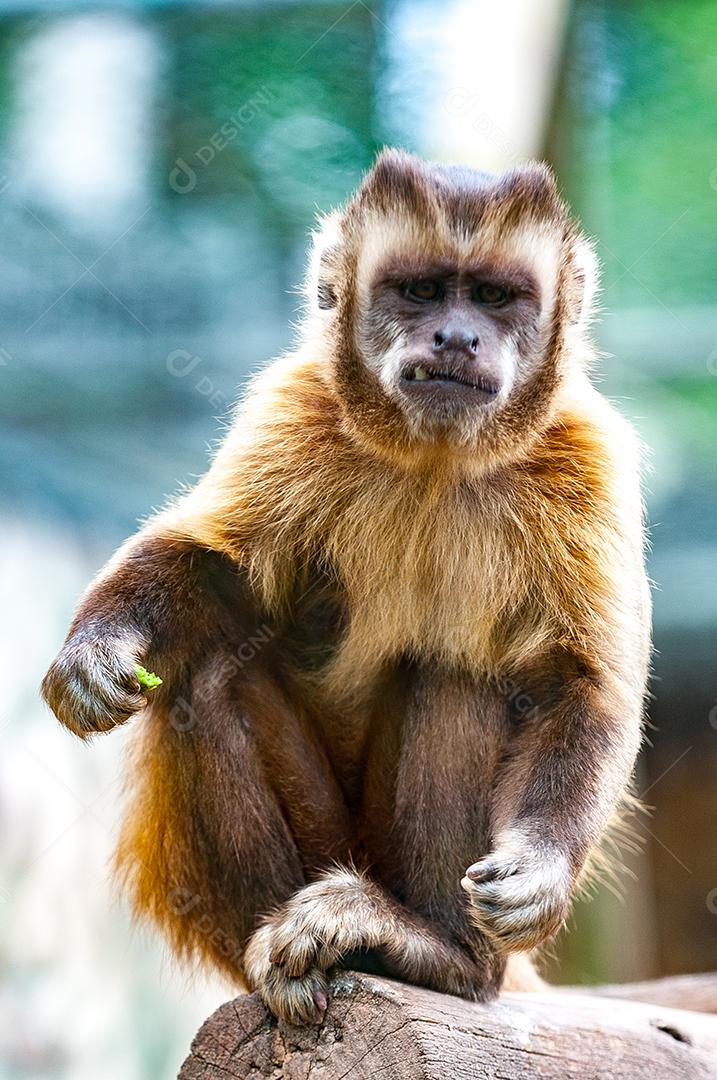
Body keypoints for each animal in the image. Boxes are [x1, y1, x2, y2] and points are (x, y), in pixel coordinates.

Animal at [42, 149, 651, 1026]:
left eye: (493, 298)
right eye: (421, 291)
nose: (456, 335)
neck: (437, 458)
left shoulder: (587, 451)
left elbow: (583, 682)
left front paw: (539, 866)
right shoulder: (293, 406)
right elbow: (217, 573)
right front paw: (98, 645)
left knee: (456, 675)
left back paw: (438, 953)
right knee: (207, 680)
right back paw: (283, 952)